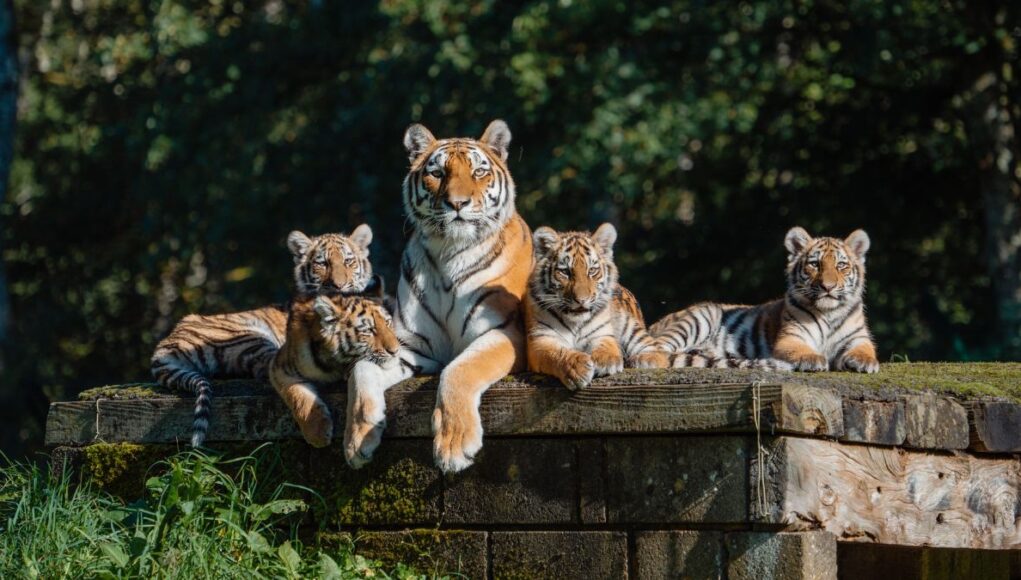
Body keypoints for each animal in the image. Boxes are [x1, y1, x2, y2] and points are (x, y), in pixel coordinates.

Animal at [269, 290, 399, 448]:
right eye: (368, 330)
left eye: (387, 323)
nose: (396, 351)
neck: (336, 362)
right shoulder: (279, 366)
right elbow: (295, 394)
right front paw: (317, 434)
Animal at [342, 119, 533, 473]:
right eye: (437, 173)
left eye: (478, 172)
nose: (457, 203)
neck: (449, 254)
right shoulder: (408, 345)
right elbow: (362, 368)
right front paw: (358, 437)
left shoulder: (504, 333)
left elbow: (459, 368)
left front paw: (454, 447)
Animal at [525, 223, 667, 390]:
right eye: (565, 272)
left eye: (592, 270)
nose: (581, 300)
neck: (575, 322)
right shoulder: (541, 340)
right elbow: (557, 354)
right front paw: (577, 368)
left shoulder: (603, 333)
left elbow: (606, 345)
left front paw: (607, 361)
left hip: (629, 326)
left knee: (658, 352)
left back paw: (642, 360)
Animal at [649, 227, 879, 373]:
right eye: (815, 264)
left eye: (841, 265)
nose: (828, 287)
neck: (829, 312)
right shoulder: (791, 337)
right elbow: (801, 350)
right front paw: (812, 359)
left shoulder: (858, 338)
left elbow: (866, 350)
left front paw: (865, 362)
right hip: (701, 316)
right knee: (658, 349)